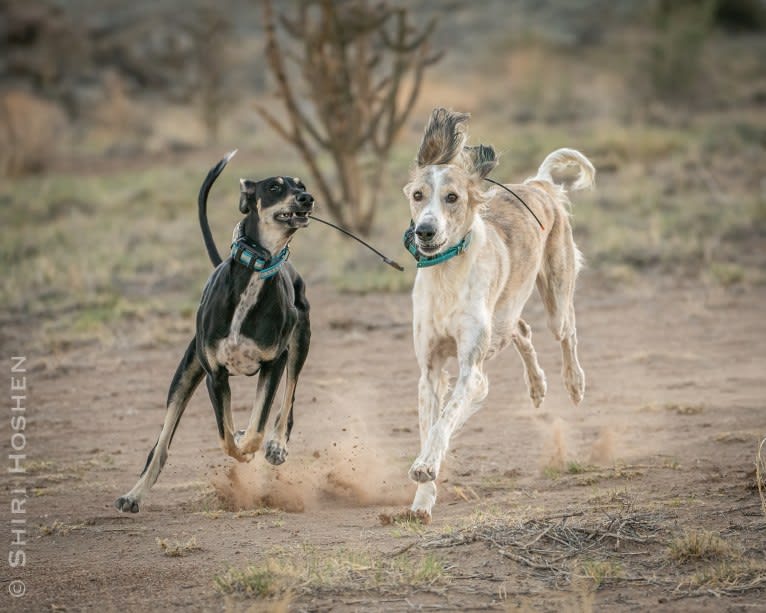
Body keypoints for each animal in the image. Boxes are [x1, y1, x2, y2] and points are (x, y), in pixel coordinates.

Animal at [115, 152, 314, 512]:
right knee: (160, 446)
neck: (256, 269)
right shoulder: (215, 375)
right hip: (185, 373)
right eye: (275, 187)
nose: (308, 198)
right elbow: (225, 437)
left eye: (301, 184)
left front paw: (255, 444)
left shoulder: (273, 363)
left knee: (287, 403)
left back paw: (277, 445)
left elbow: (257, 426)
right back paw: (133, 495)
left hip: (299, 341)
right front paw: (239, 443)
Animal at [404, 107, 596, 520]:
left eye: (452, 197)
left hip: (556, 298)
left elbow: (446, 419)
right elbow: (431, 425)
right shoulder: (429, 370)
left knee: (567, 332)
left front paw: (426, 466)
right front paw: (422, 500)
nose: (425, 231)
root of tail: (539, 184)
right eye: (417, 195)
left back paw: (574, 383)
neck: (446, 273)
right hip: (504, 318)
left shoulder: (471, 371)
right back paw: (537, 386)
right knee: (522, 330)